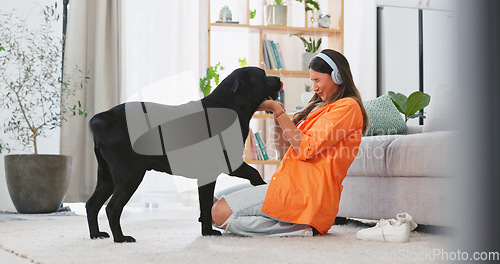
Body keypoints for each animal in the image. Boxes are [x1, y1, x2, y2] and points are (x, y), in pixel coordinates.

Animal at [86, 67, 282, 242]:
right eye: (263, 75)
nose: (279, 78)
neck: (230, 104)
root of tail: (102, 119)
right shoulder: (229, 162)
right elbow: (253, 173)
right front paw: (261, 187)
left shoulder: (207, 175)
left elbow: (204, 206)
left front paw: (206, 232)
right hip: (130, 174)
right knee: (112, 207)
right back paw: (120, 238)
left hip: (107, 176)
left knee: (92, 204)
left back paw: (96, 235)